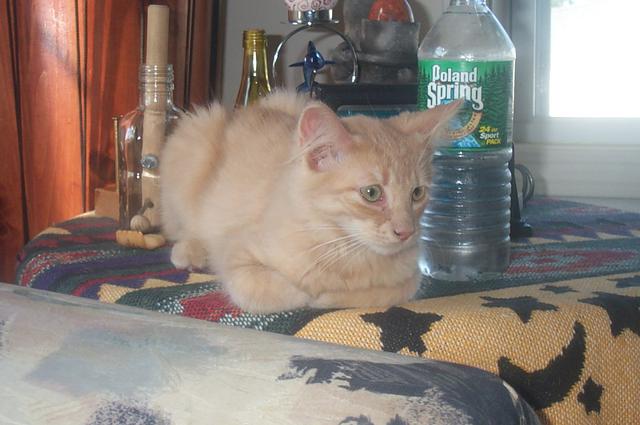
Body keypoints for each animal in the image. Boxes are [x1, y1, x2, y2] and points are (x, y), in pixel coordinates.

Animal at [160, 92, 460, 314]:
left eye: (417, 193)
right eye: (372, 193)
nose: (406, 232)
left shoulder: (411, 276)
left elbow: (385, 293)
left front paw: (331, 296)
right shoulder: (236, 254)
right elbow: (276, 290)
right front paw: (312, 295)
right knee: (183, 229)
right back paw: (189, 253)